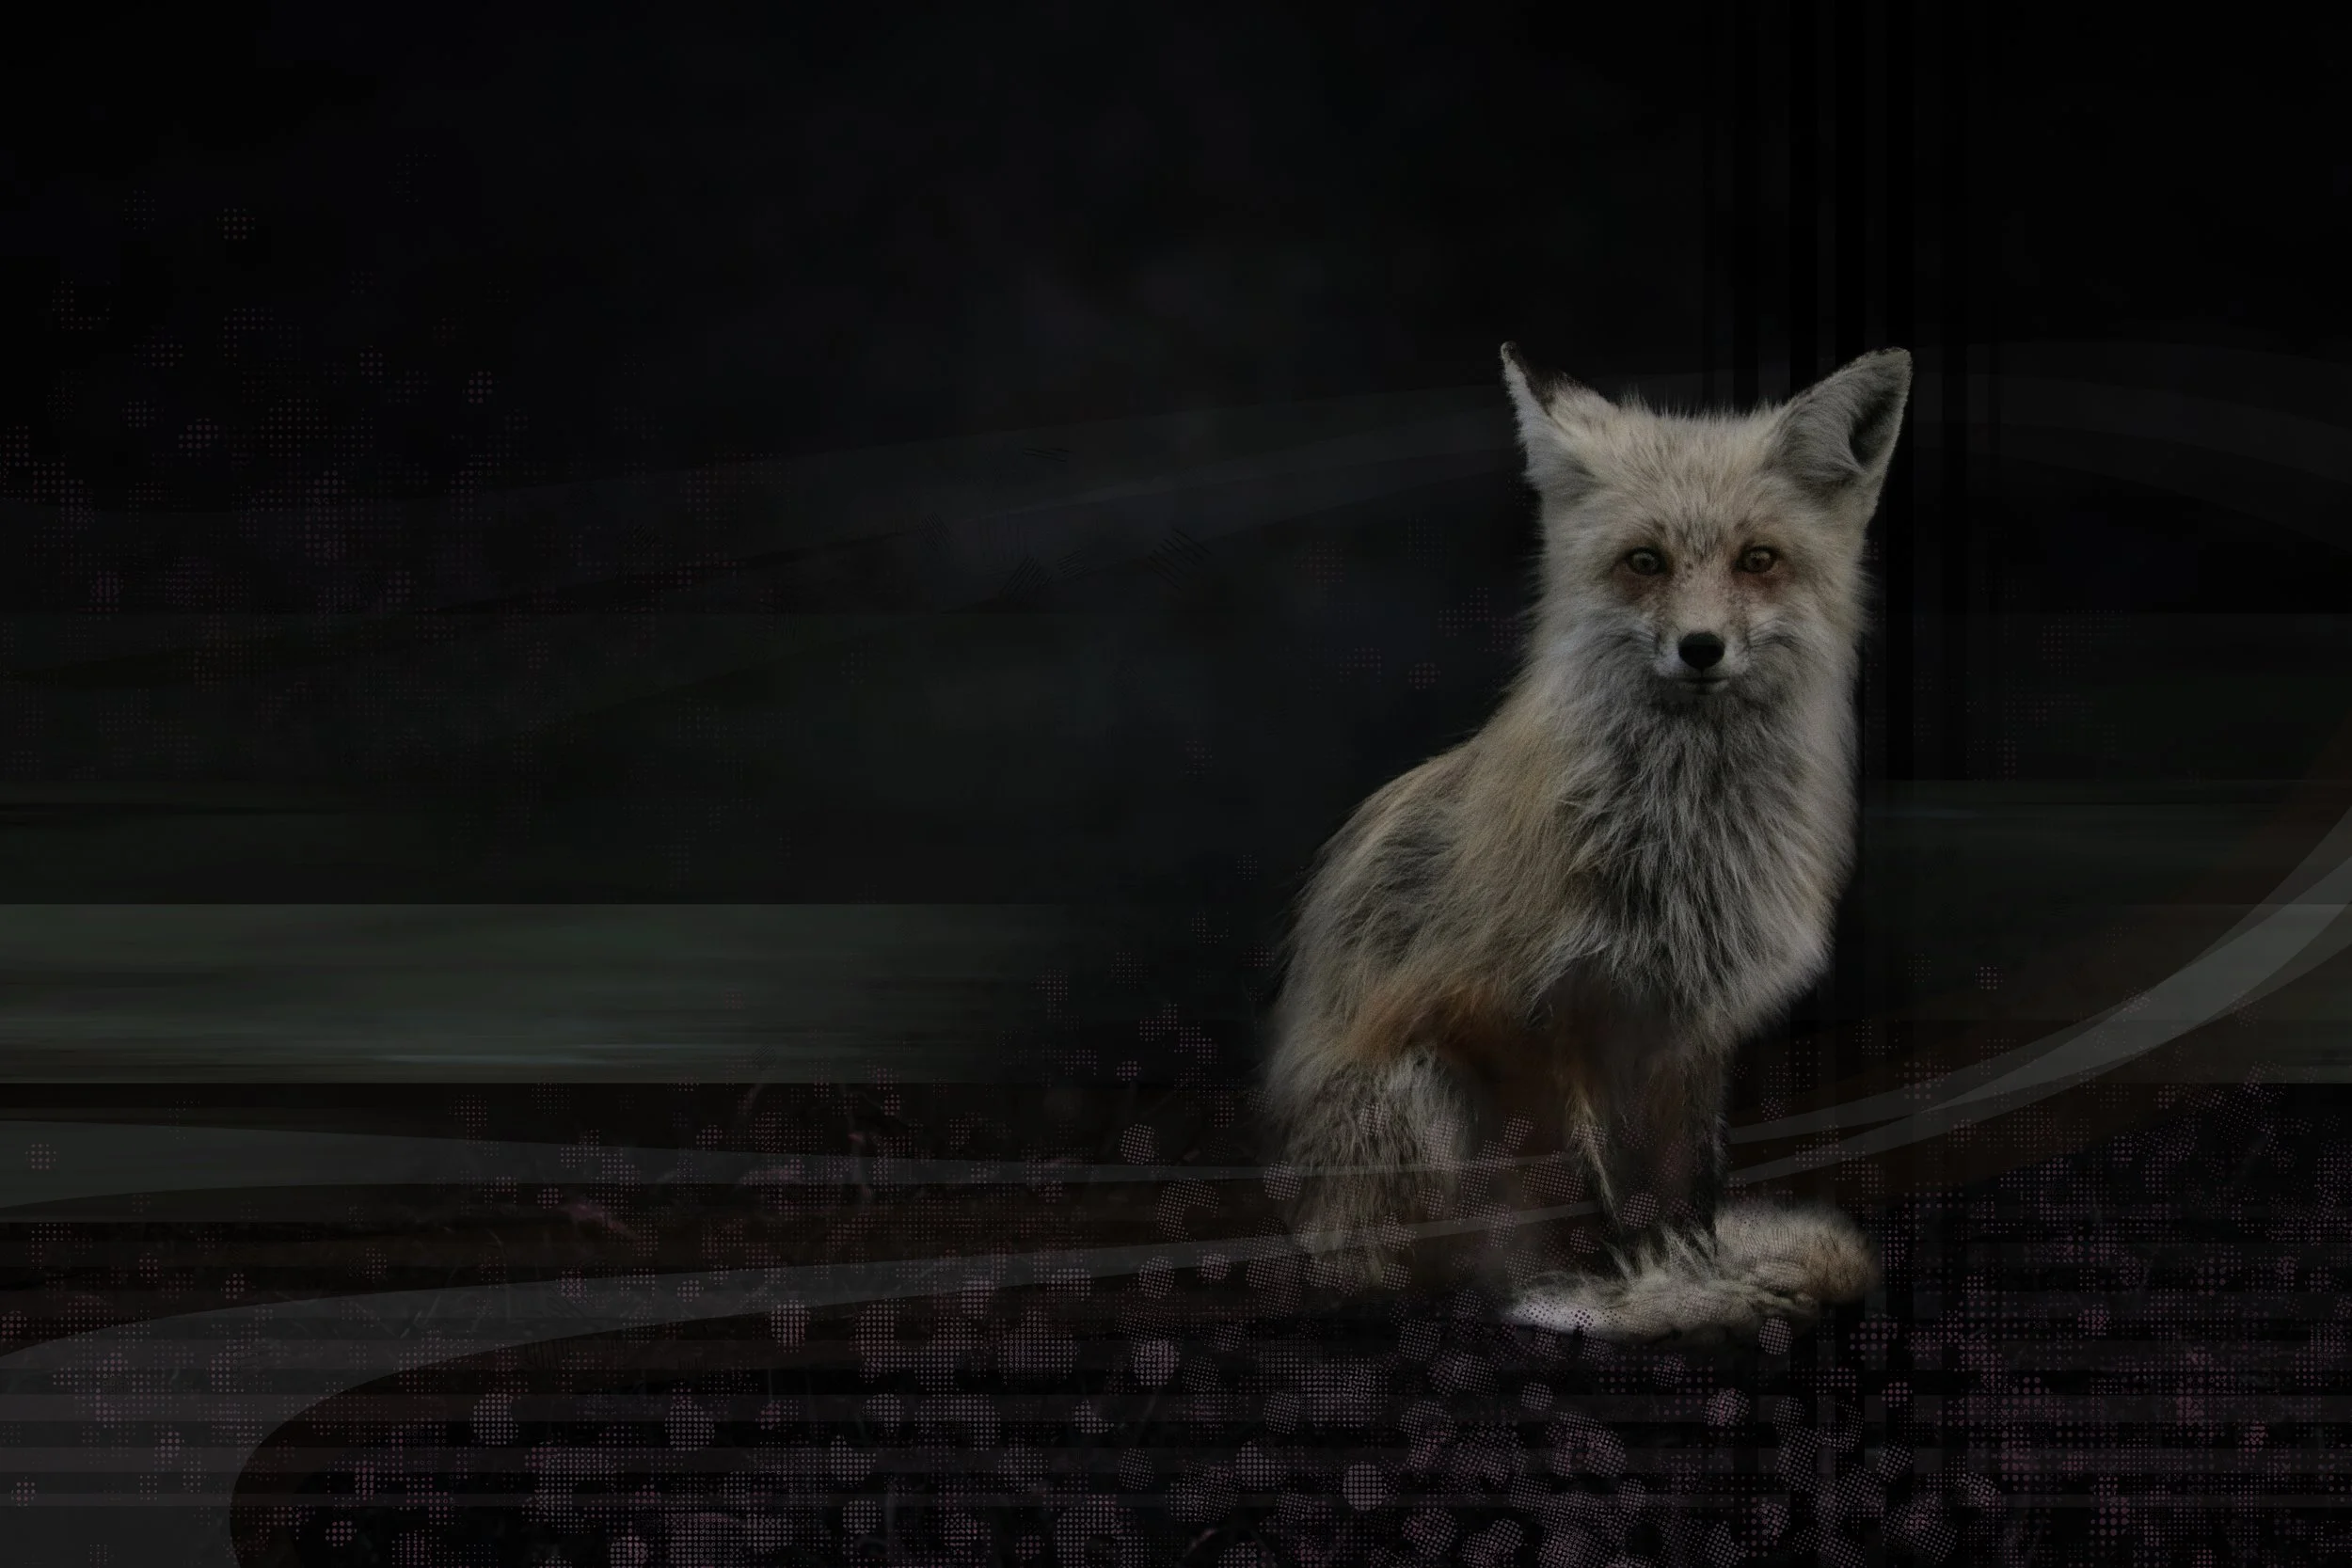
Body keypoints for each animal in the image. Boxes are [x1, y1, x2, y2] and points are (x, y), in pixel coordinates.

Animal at [1261, 343, 1910, 1343]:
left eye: (1758, 560)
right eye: (1645, 561)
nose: (1701, 647)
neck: (1683, 841)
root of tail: (1307, 1230)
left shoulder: (1692, 1024)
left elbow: (1690, 1188)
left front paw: (1687, 1269)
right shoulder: (1525, 1017)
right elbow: (1577, 1182)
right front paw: (1614, 1283)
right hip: (1422, 1087)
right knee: (1415, 1261)